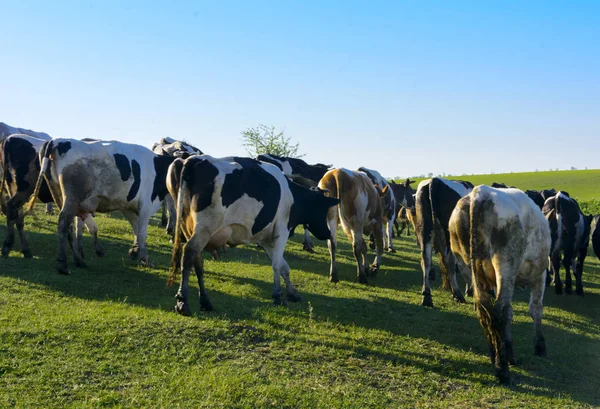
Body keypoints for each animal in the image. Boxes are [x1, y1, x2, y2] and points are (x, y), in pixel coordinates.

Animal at [26, 138, 176, 274]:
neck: (158, 168)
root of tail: (56, 141)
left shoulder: (127, 206)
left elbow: (136, 229)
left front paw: (135, 251)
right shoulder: (146, 204)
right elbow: (143, 232)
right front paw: (144, 258)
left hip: (59, 196)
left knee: (70, 227)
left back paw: (78, 260)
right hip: (72, 198)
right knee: (64, 223)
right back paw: (63, 265)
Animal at [166, 154, 340, 312]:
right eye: (323, 208)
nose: (327, 233)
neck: (292, 195)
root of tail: (193, 160)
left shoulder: (266, 239)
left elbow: (284, 266)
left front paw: (292, 293)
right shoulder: (281, 231)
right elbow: (277, 265)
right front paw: (278, 296)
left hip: (189, 228)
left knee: (197, 261)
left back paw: (205, 301)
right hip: (205, 227)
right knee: (189, 253)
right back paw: (183, 301)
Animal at [414, 176, 472, 306]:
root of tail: (434, 181)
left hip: (424, 229)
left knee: (426, 260)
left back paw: (427, 296)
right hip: (449, 236)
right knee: (450, 262)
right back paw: (457, 294)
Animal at [448, 186, 552, 384]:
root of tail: (480, 192)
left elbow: (511, 313)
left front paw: (509, 351)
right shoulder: (540, 274)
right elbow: (535, 308)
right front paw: (540, 346)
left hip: (466, 264)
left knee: (485, 311)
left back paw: (495, 357)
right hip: (506, 263)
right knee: (499, 311)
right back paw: (502, 368)